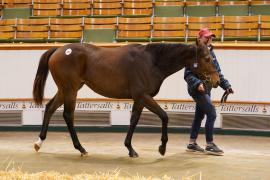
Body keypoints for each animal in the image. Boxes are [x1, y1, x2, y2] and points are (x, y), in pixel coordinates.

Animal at [32, 39, 220, 158]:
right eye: (207, 58)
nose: (217, 80)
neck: (151, 61)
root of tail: (58, 50)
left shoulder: (140, 99)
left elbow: (134, 119)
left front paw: (130, 148)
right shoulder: (143, 96)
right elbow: (164, 116)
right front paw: (162, 147)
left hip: (66, 89)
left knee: (50, 108)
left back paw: (39, 142)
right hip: (70, 90)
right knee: (68, 115)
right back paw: (81, 148)